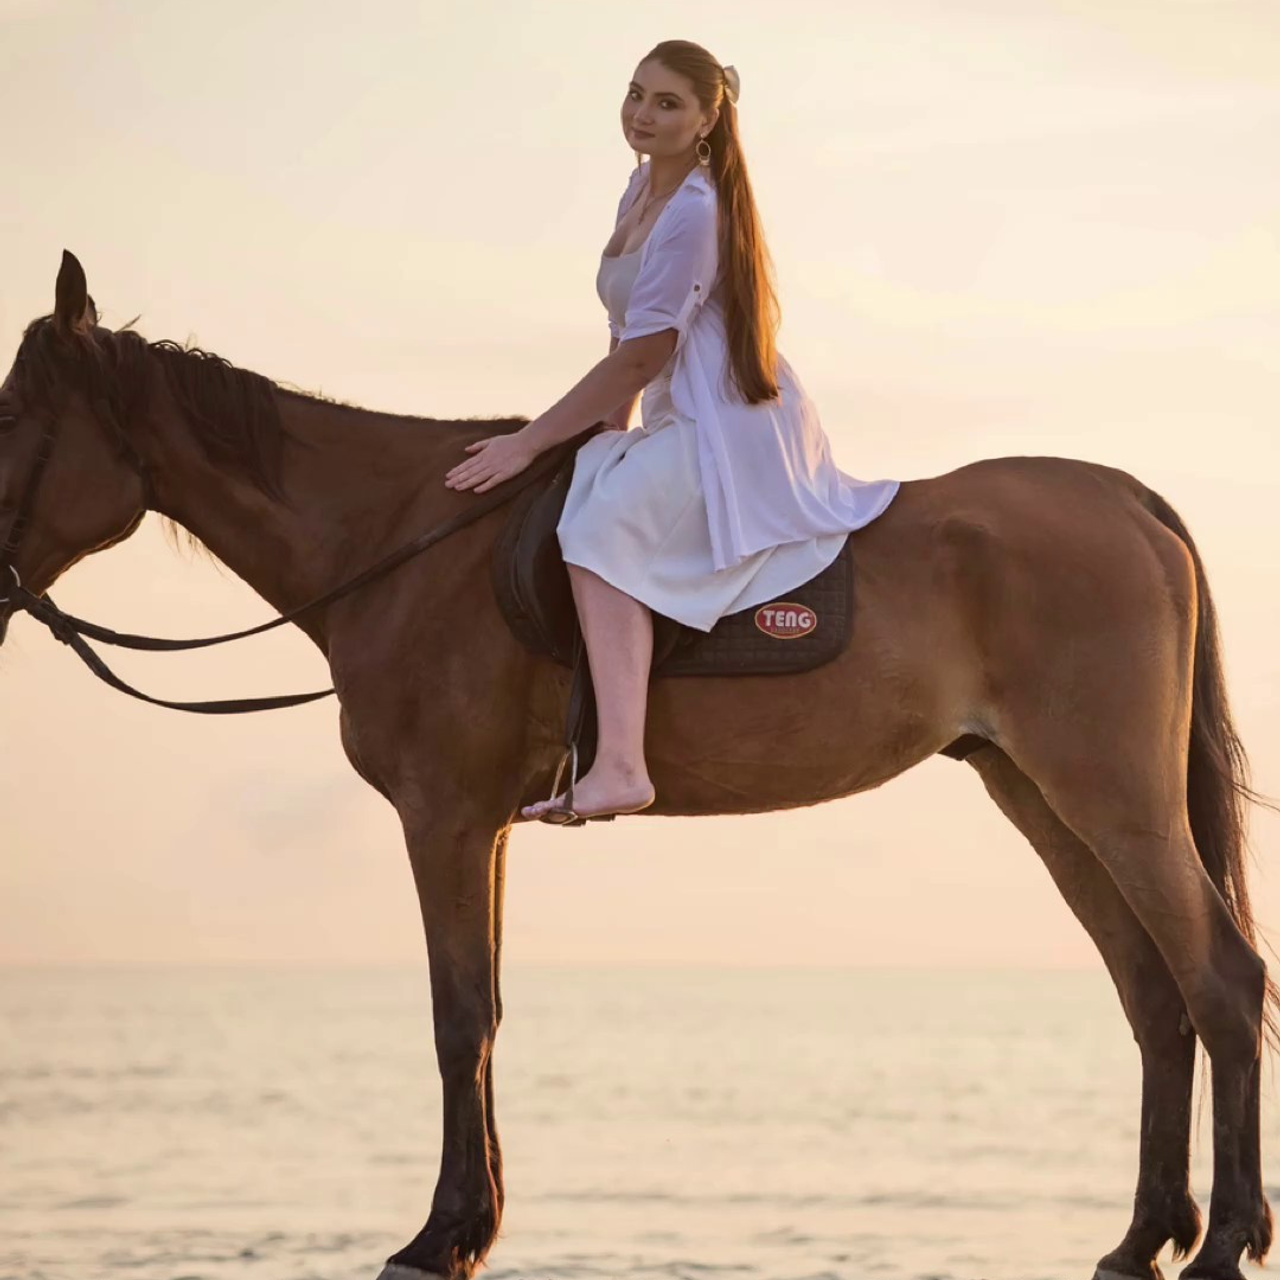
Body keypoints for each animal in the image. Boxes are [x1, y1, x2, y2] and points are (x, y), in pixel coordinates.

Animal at [0, 250, 1272, 1280]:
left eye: (13, 419)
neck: (400, 538)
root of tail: (1123, 497)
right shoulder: (481, 823)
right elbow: (485, 1010)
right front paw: (471, 1223)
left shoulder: (442, 815)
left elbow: (455, 1015)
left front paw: (438, 1236)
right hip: (1046, 800)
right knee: (1152, 992)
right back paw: (1140, 1237)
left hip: (1113, 799)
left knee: (1217, 976)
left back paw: (1219, 1242)